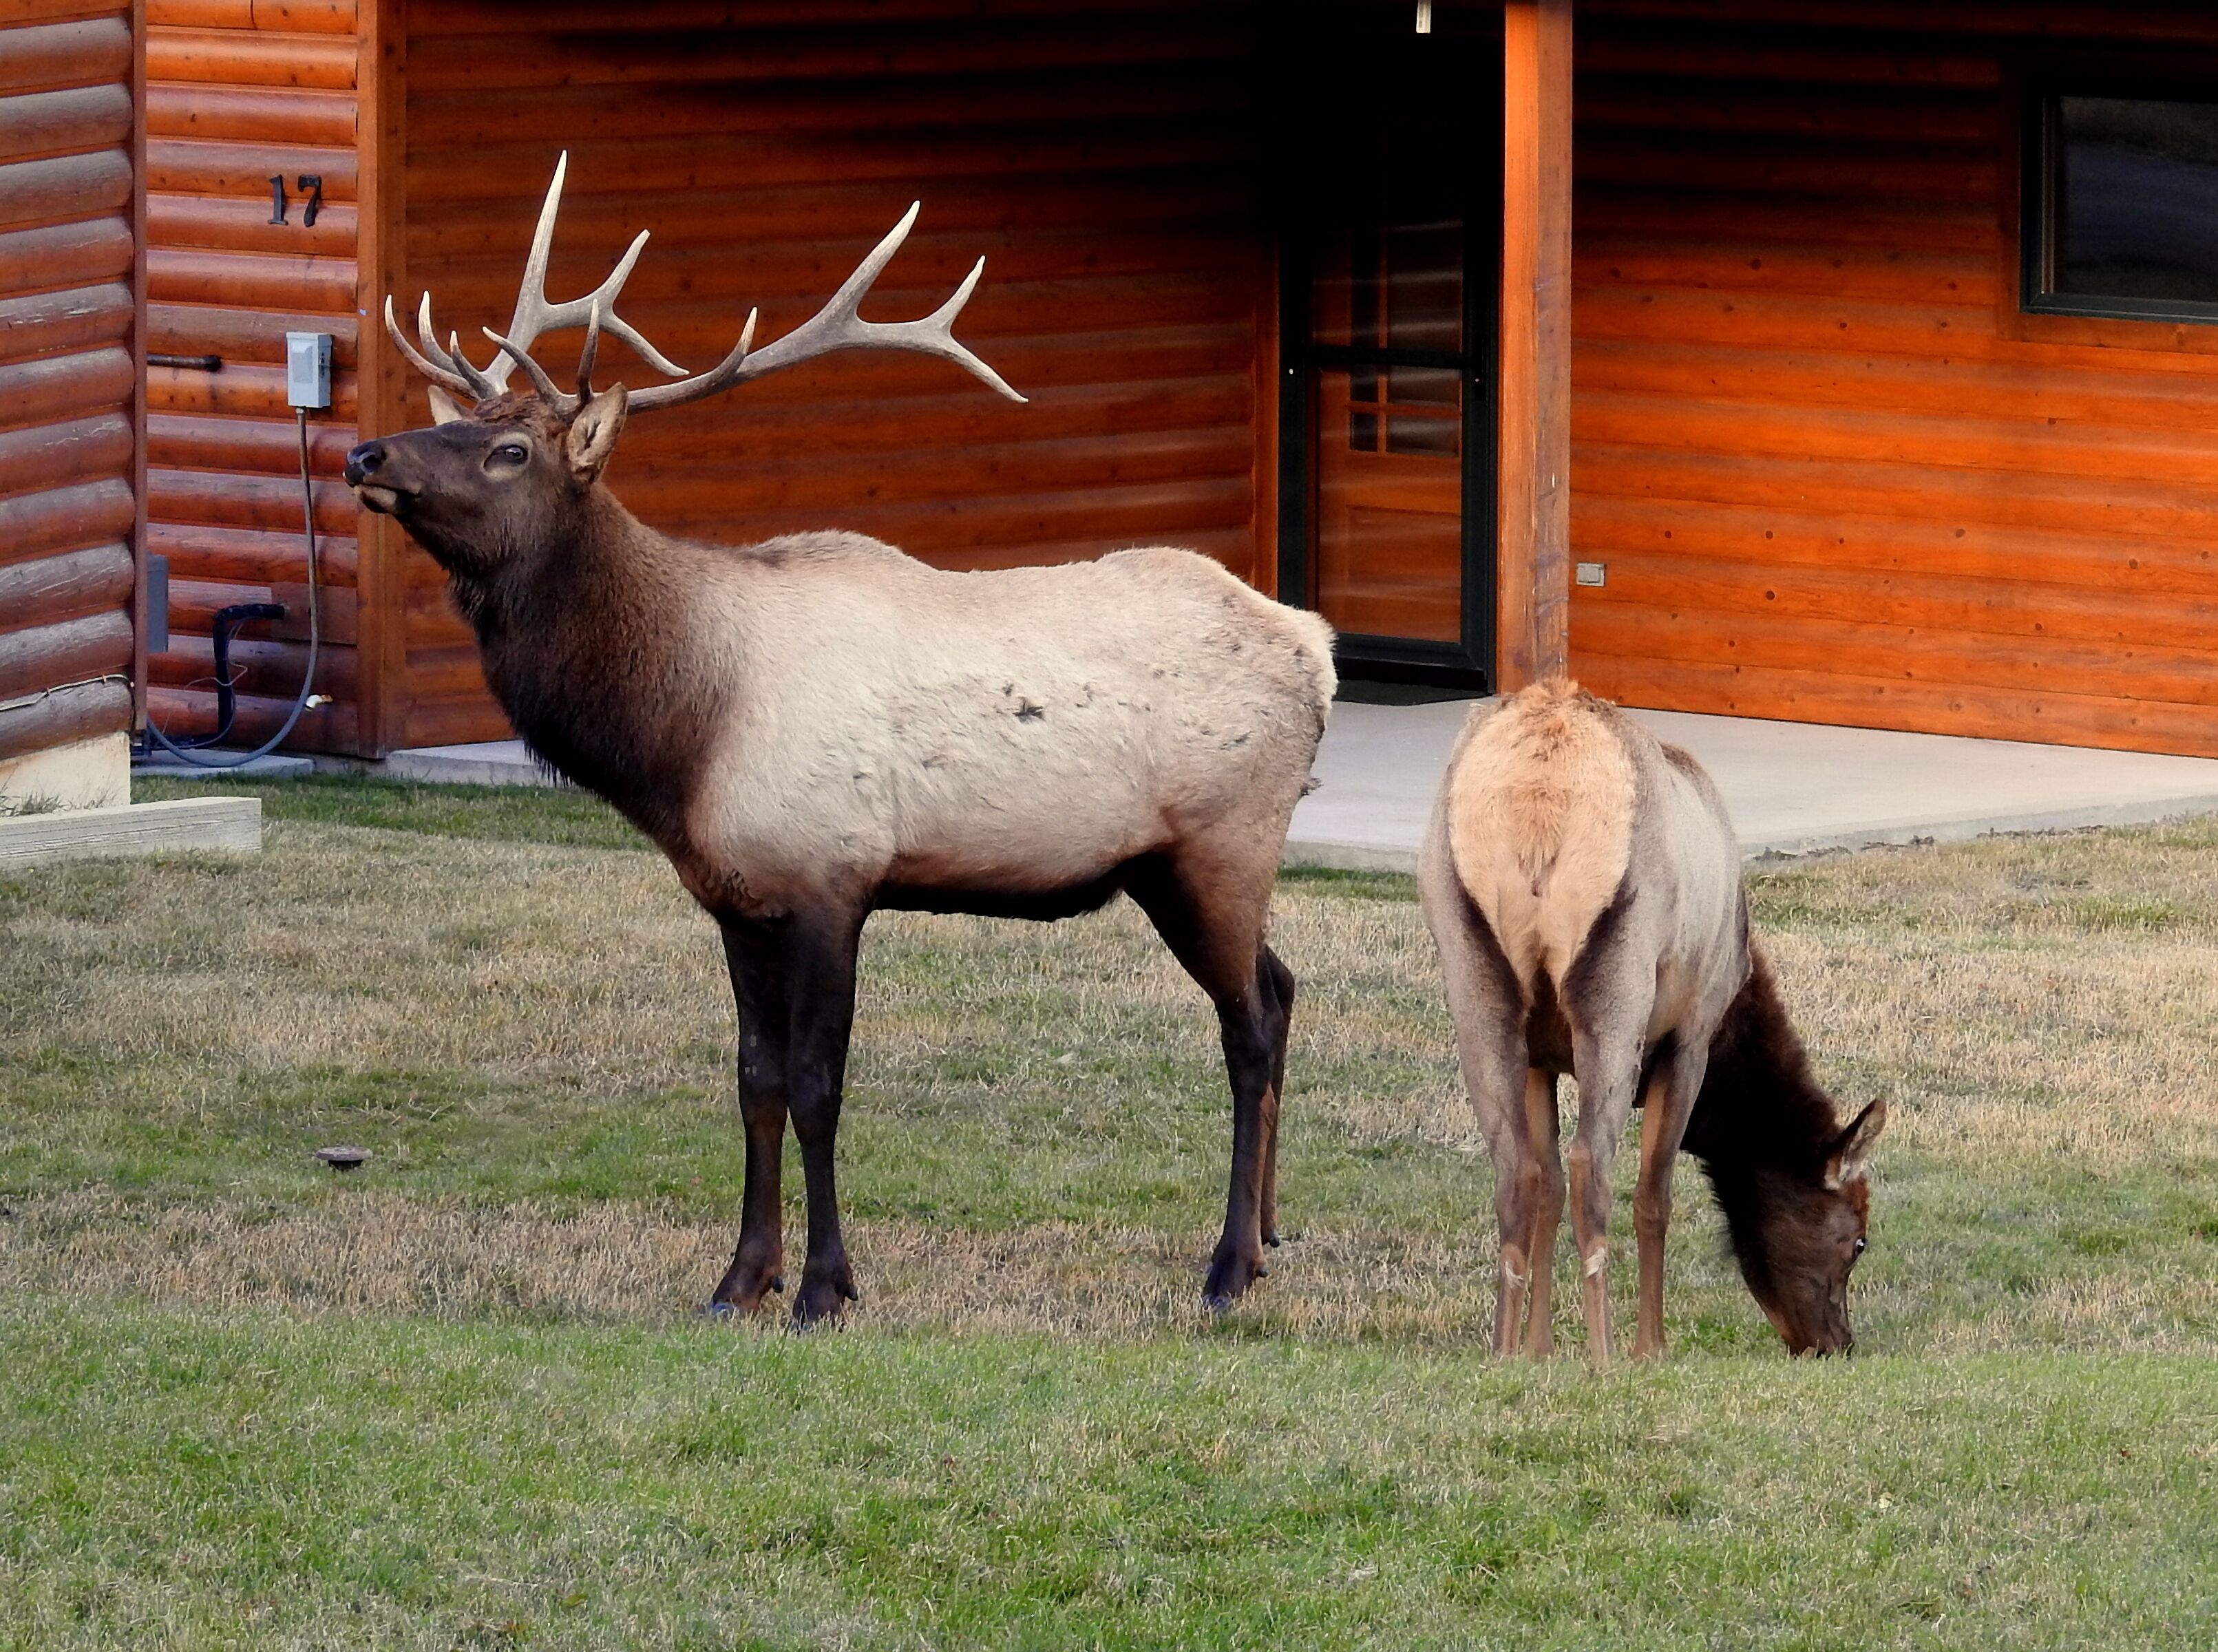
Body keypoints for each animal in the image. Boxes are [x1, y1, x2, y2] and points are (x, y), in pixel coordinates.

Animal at [343, 157, 1336, 1326]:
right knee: (1283, 986)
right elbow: (754, 1082)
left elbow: (819, 1087)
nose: (364, 449)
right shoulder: (734, 897)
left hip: (1221, 841)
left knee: (1250, 1022)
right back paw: (1269, 1237)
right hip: (1167, 865)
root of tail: (1314, 647)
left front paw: (823, 1285)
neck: (681, 738)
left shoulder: (832, 875)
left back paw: (1225, 1267)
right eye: (456, 421)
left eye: (507, 450)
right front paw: (740, 1278)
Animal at [1417, 679, 1887, 1359]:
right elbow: (1654, 1194)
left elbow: (1545, 1187)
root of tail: (1538, 804)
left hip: (1474, 974)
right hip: (1617, 979)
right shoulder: (1690, 1036)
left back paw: (1502, 1353)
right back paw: (1606, 1356)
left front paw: (1537, 1350)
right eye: (1858, 1240)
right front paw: (1651, 1348)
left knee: (1516, 1168)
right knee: (1592, 1165)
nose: (1836, 1343)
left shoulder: (1540, 1061)